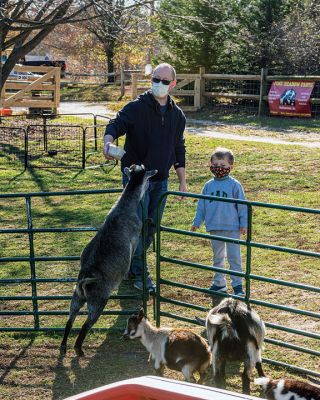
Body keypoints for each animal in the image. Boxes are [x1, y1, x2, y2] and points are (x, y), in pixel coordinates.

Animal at [60, 165, 158, 356]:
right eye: (148, 175)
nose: (155, 174)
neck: (124, 208)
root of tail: (84, 282)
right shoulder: (135, 235)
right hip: (98, 301)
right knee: (86, 324)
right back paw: (78, 349)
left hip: (76, 298)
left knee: (70, 318)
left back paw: (63, 346)